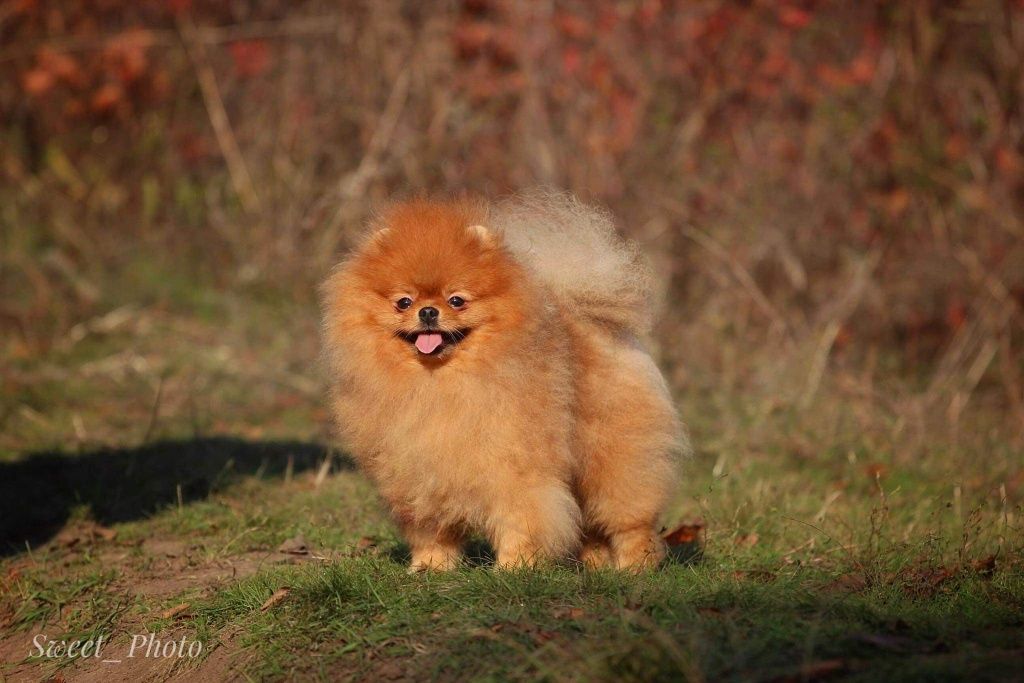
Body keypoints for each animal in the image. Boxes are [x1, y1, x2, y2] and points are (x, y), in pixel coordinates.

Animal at [323, 192, 684, 573]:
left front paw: (517, 566)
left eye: (456, 300)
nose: (428, 312)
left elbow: (520, 518)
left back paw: (635, 565)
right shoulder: (419, 474)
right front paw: (431, 565)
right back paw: (595, 565)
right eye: (403, 302)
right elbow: (433, 528)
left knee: (629, 517)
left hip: (614, 459)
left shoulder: (513, 465)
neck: (438, 385)